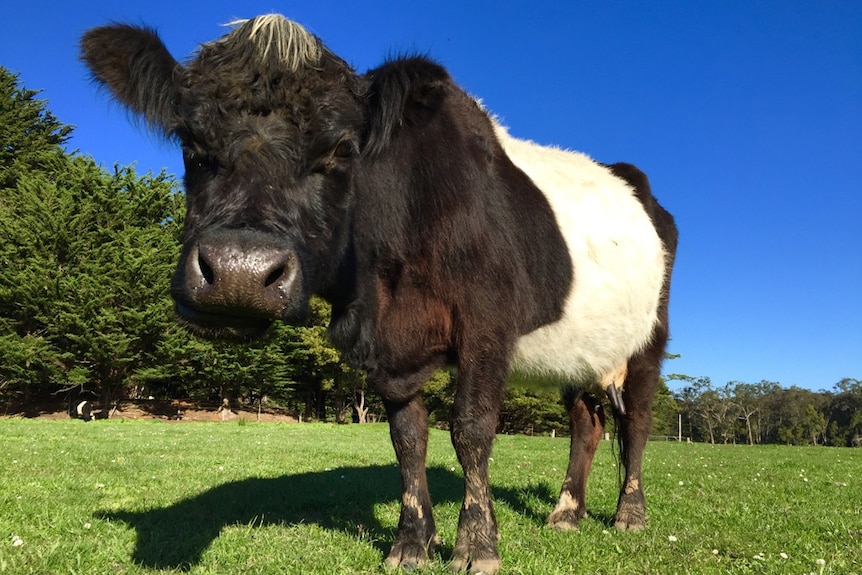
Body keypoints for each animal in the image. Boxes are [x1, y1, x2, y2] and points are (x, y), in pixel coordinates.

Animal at [81, 14, 680, 575]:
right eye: (190, 142)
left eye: (342, 150)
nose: (239, 272)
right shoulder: (388, 350)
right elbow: (408, 438)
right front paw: (411, 545)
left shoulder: (487, 322)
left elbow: (471, 428)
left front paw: (476, 546)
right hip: (584, 352)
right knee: (587, 423)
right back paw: (565, 514)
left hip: (650, 338)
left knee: (638, 422)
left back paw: (629, 515)